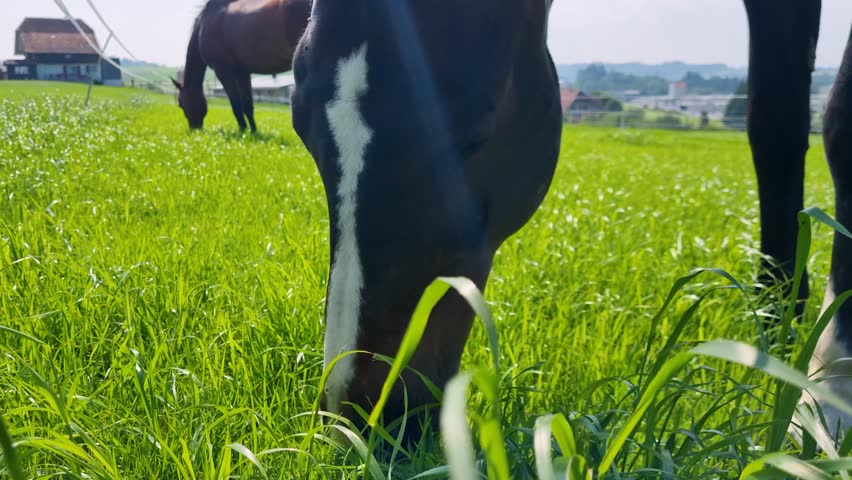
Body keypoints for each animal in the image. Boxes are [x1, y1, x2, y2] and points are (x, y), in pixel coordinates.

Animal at [172, 0, 311, 132]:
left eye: (180, 104)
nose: (194, 128)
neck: (204, 23)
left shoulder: (223, 71)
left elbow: (236, 104)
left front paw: (242, 129)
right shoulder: (242, 73)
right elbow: (247, 104)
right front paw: (253, 131)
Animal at [290, 0, 852, 438]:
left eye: (473, 132)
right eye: (301, 123)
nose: (358, 415)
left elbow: (834, 119)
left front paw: (827, 398)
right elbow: (773, 124)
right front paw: (777, 321)